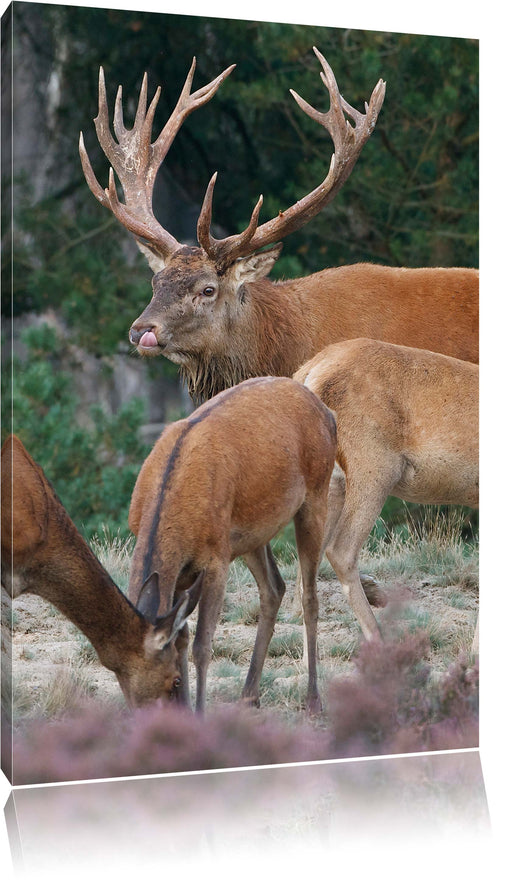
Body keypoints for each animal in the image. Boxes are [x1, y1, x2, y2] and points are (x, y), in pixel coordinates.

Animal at [126, 376, 338, 716]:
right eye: (119, 676)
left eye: (169, 681)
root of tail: (328, 414)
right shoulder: (182, 574)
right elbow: (181, 638)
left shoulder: (216, 558)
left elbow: (202, 644)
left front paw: (200, 714)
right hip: (251, 533)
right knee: (273, 587)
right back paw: (249, 695)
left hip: (315, 496)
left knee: (309, 596)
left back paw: (313, 700)